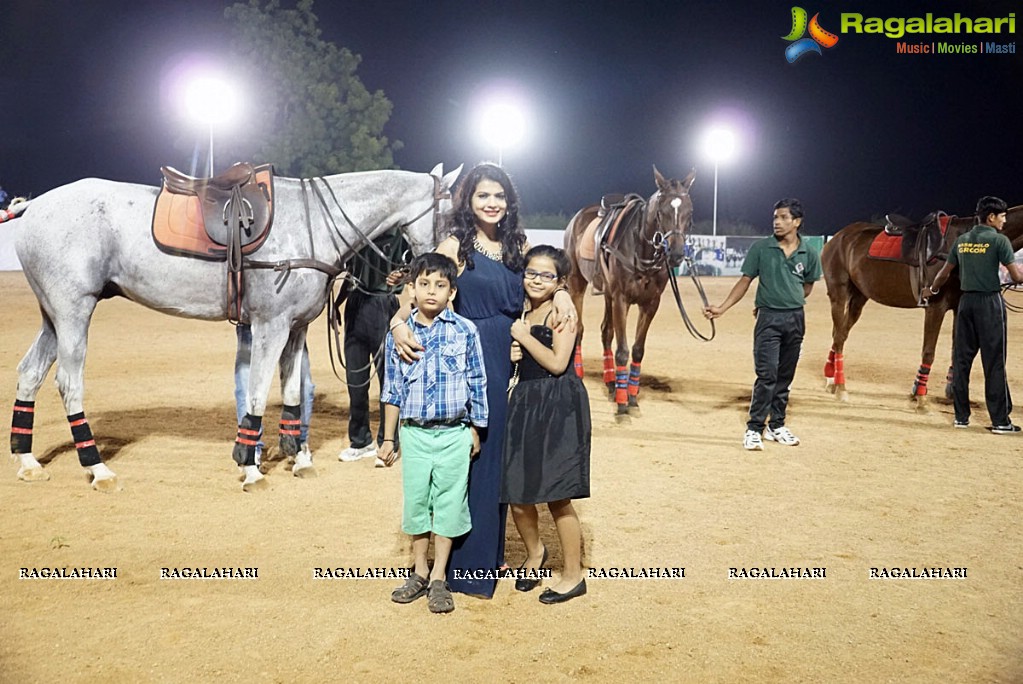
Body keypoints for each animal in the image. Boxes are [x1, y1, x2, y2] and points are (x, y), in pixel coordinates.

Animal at [3, 162, 460, 488]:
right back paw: (97, 467)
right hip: (73, 310)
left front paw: (297, 456)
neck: (312, 225)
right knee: (68, 382)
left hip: (52, 315)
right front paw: (250, 465)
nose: (447, 269)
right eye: (453, 217)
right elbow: (257, 390)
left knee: (29, 372)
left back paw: (27, 460)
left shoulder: (295, 327)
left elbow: (292, 390)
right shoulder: (271, 325)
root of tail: (32, 205)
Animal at [564, 165, 699, 421]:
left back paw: (611, 382)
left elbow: (637, 350)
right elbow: (623, 351)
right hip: (577, 282)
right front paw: (622, 404)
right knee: (581, 329)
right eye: (662, 212)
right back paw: (581, 374)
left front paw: (632, 396)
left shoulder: (650, 303)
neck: (641, 248)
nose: (677, 254)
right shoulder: (621, 299)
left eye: (690, 211)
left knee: (606, 332)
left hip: (606, 293)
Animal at [818, 205, 1023, 402]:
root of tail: (837, 238)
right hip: (839, 294)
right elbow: (928, 351)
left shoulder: (959, 307)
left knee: (840, 333)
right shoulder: (935, 307)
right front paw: (920, 392)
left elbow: (956, 349)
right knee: (839, 336)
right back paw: (841, 386)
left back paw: (831, 376)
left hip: (859, 297)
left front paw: (951, 390)